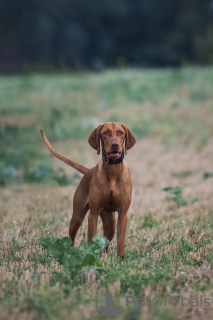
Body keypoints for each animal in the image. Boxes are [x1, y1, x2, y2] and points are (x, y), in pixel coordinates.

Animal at [40, 122, 136, 260]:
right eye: (106, 132)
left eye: (121, 133)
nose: (115, 145)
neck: (112, 171)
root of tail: (89, 170)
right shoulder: (93, 214)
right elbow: (91, 239)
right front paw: (91, 258)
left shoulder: (123, 214)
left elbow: (120, 242)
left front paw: (120, 260)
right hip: (77, 217)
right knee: (71, 239)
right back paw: (70, 255)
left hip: (110, 223)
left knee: (106, 241)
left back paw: (105, 256)